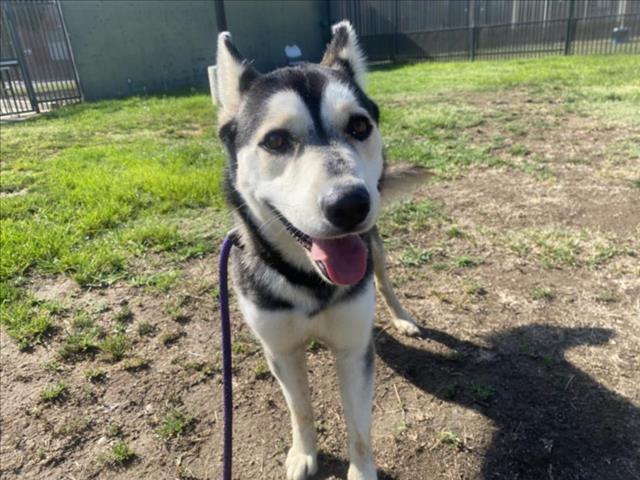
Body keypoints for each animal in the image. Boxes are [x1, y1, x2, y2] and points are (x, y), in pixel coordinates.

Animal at [216, 20, 424, 478]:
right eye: (276, 140)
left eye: (359, 127)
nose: (349, 204)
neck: (308, 279)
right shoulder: (281, 350)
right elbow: (301, 410)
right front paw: (303, 454)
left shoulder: (352, 349)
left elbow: (359, 429)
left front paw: (361, 472)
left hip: (376, 249)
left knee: (384, 282)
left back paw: (402, 318)